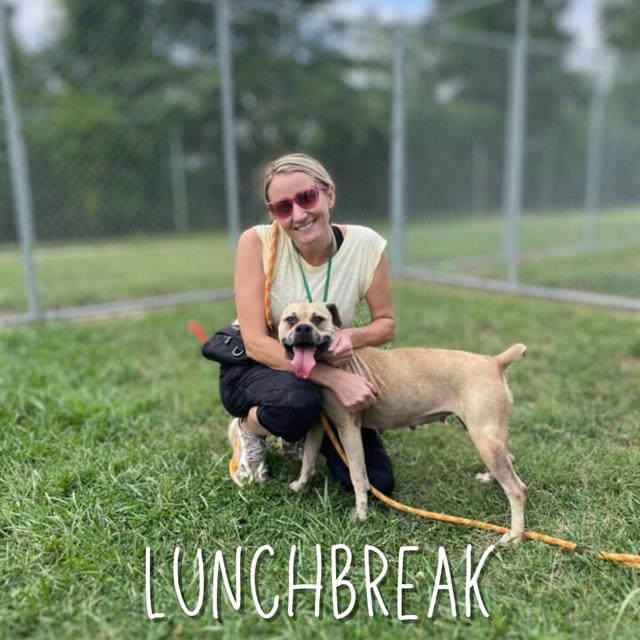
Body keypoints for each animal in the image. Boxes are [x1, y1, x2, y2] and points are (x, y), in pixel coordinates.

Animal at [278, 302, 528, 548]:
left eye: (318, 319)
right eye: (291, 319)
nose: (303, 329)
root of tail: (494, 362)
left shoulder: (349, 429)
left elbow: (358, 476)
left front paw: (361, 515)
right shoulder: (317, 426)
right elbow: (308, 460)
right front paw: (300, 486)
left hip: (484, 438)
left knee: (517, 489)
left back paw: (514, 536)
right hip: (488, 437)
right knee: (510, 460)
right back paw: (489, 479)